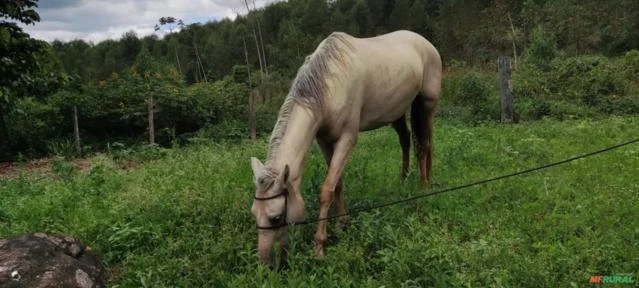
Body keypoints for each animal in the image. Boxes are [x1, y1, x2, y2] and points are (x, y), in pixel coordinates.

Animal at [252, 29, 442, 266]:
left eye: (275, 218)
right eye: (254, 214)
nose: (266, 264)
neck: (328, 88)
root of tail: (425, 43)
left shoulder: (347, 139)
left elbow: (326, 190)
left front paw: (320, 246)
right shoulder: (324, 141)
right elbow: (337, 184)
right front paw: (342, 224)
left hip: (426, 104)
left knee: (423, 146)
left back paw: (423, 187)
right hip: (397, 111)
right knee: (406, 141)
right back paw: (404, 180)